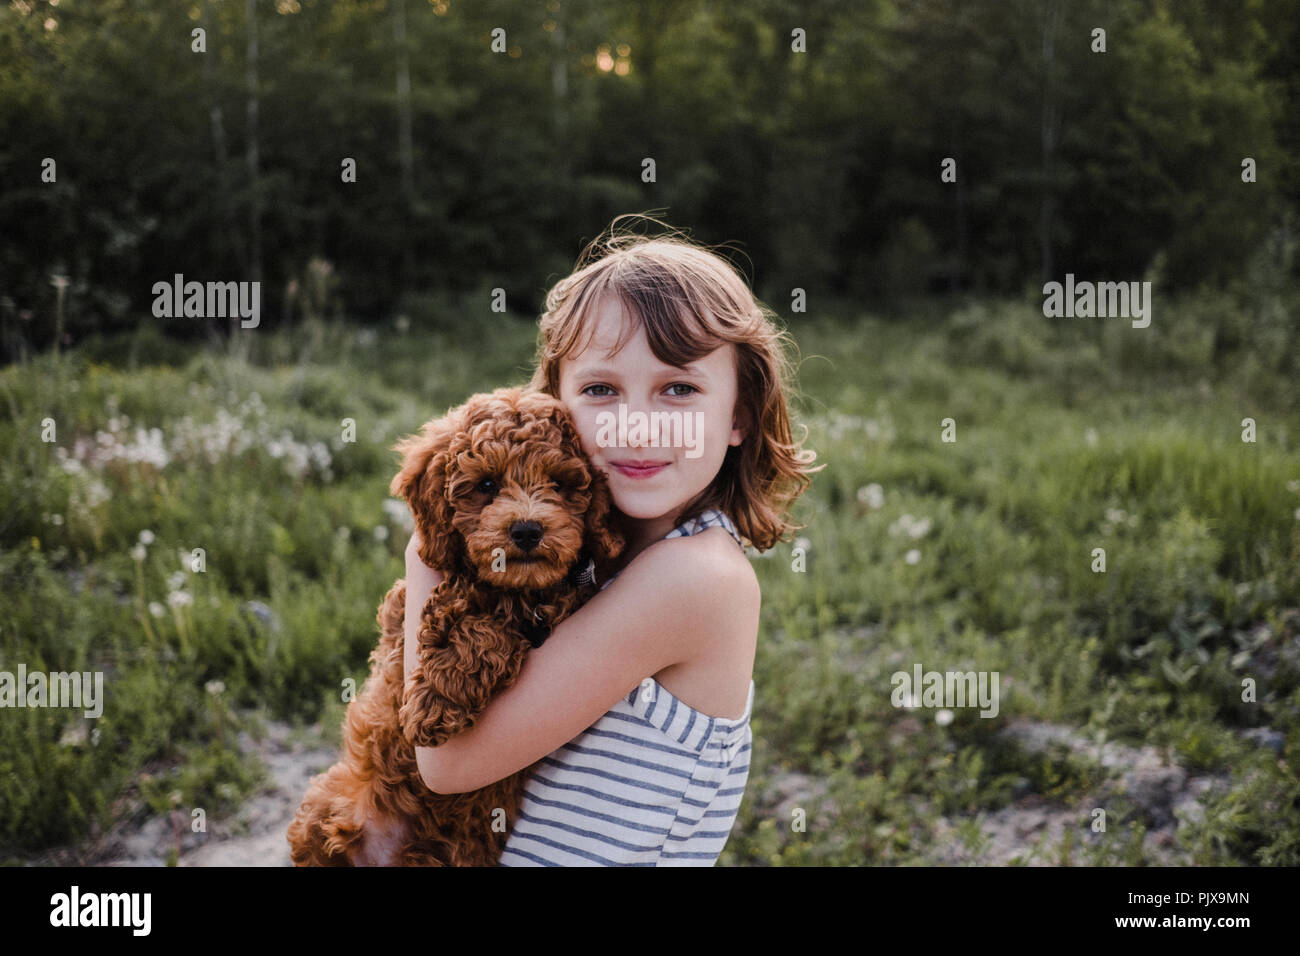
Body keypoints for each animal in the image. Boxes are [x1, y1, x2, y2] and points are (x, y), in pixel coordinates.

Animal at [287, 387, 621, 868]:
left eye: (559, 485)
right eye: (487, 486)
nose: (526, 530)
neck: (518, 591)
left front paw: (439, 698)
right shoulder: (400, 620)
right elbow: (460, 604)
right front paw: (436, 699)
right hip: (324, 808)